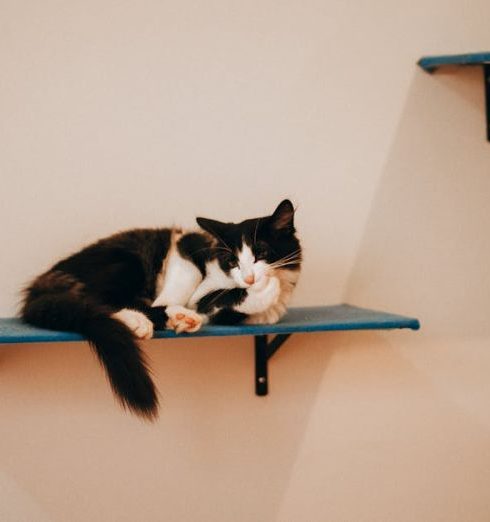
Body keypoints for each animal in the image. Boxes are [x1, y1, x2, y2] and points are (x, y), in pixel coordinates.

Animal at [21, 199, 300, 418]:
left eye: (261, 252)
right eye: (232, 261)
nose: (249, 278)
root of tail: (41, 284)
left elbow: (227, 306)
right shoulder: (186, 248)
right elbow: (200, 286)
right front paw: (266, 288)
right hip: (126, 262)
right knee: (98, 301)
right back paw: (152, 318)